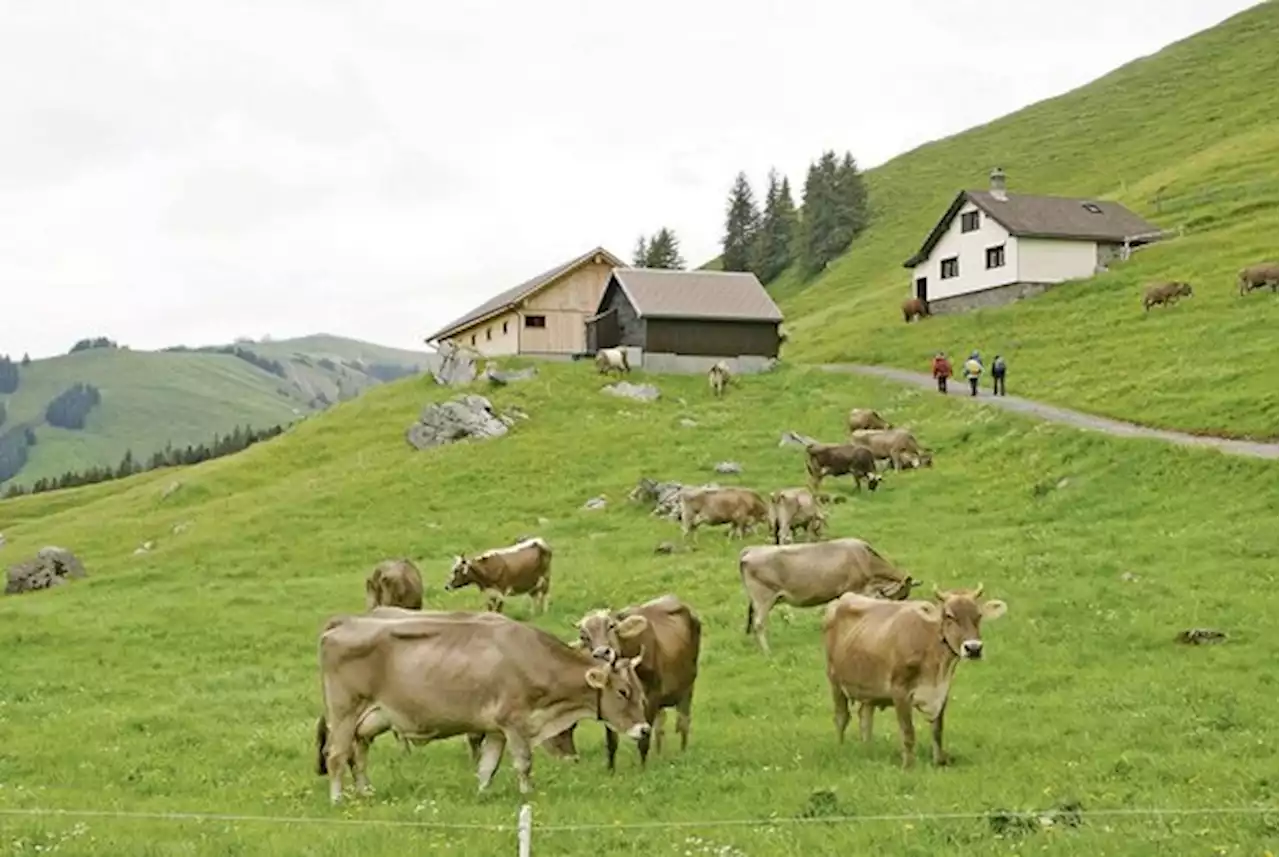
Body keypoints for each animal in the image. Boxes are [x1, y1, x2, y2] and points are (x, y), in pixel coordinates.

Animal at [311, 611, 650, 808]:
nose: (645, 729)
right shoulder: (514, 723)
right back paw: (337, 799)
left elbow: (488, 766)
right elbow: (524, 762)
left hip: (369, 720)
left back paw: (366, 791)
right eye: (623, 691)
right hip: (344, 713)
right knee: (336, 755)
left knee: (359, 753)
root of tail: (343, 623)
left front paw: (483, 795)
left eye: (641, 692)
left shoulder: (496, 730)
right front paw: (527, 794)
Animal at [560, 598, 701, 772]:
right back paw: (659, 754)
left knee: (683, 722)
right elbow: (612, 740)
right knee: (661, 726)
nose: (601, 653)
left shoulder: (651, 696)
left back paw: (683, 752)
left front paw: (642, 769)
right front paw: (611, 770)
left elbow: (644, 738)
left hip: (688, 687)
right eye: (583, 636)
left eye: (611, 626)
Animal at [742, 537, 921, 660]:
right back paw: (767, 652)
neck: (864, 558)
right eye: (898, 599)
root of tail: (750, 550)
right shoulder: (854, 590)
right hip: (763, 599)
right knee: (758, 624)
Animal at [819, 583, 1008, 772]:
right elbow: (908, 732)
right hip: (834, 679)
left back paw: (867, 750)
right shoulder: (900, 691)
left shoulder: (942, 691)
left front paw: (939, 761)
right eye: (949, 615)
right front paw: (908, 765)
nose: (973, 648)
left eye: (979, 615)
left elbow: (937, 730)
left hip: (868, 687)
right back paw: (841, 748)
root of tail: (842, 599)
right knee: (841, 717)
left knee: (865, 716)